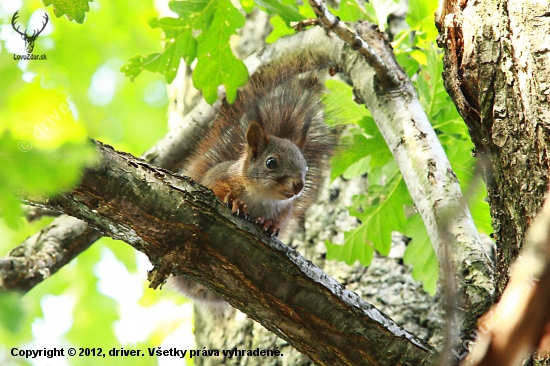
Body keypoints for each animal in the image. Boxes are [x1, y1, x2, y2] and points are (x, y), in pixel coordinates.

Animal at [170, 59, 338, 312]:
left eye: (307, 167)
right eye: (271, 162)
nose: (298, 185)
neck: (262, 196)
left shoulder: (285, 206)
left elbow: (281, 217)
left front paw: (270, 224)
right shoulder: (219, 178)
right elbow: (217, 190)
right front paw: (235, 202)